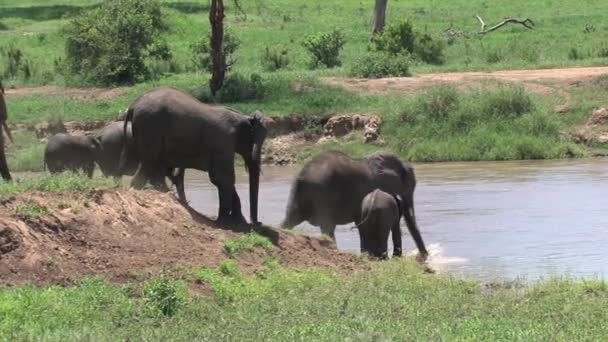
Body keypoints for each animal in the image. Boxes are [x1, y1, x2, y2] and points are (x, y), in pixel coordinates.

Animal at [121, 85, 266, 224]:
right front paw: (226, 222)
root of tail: (133, 105)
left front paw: (238, 222)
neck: (243, 117)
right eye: (253, 143)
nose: (257, 223)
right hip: (149, 127)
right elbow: (224, 177)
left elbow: (218, 179)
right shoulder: (223, 142)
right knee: (148, 163)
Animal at [280, 151, 428, 260]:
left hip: (299, 194)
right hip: (322, 193)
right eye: (410, 185)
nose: (424, 256)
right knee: (327, 226)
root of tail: (301, 175)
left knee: (290, 220)